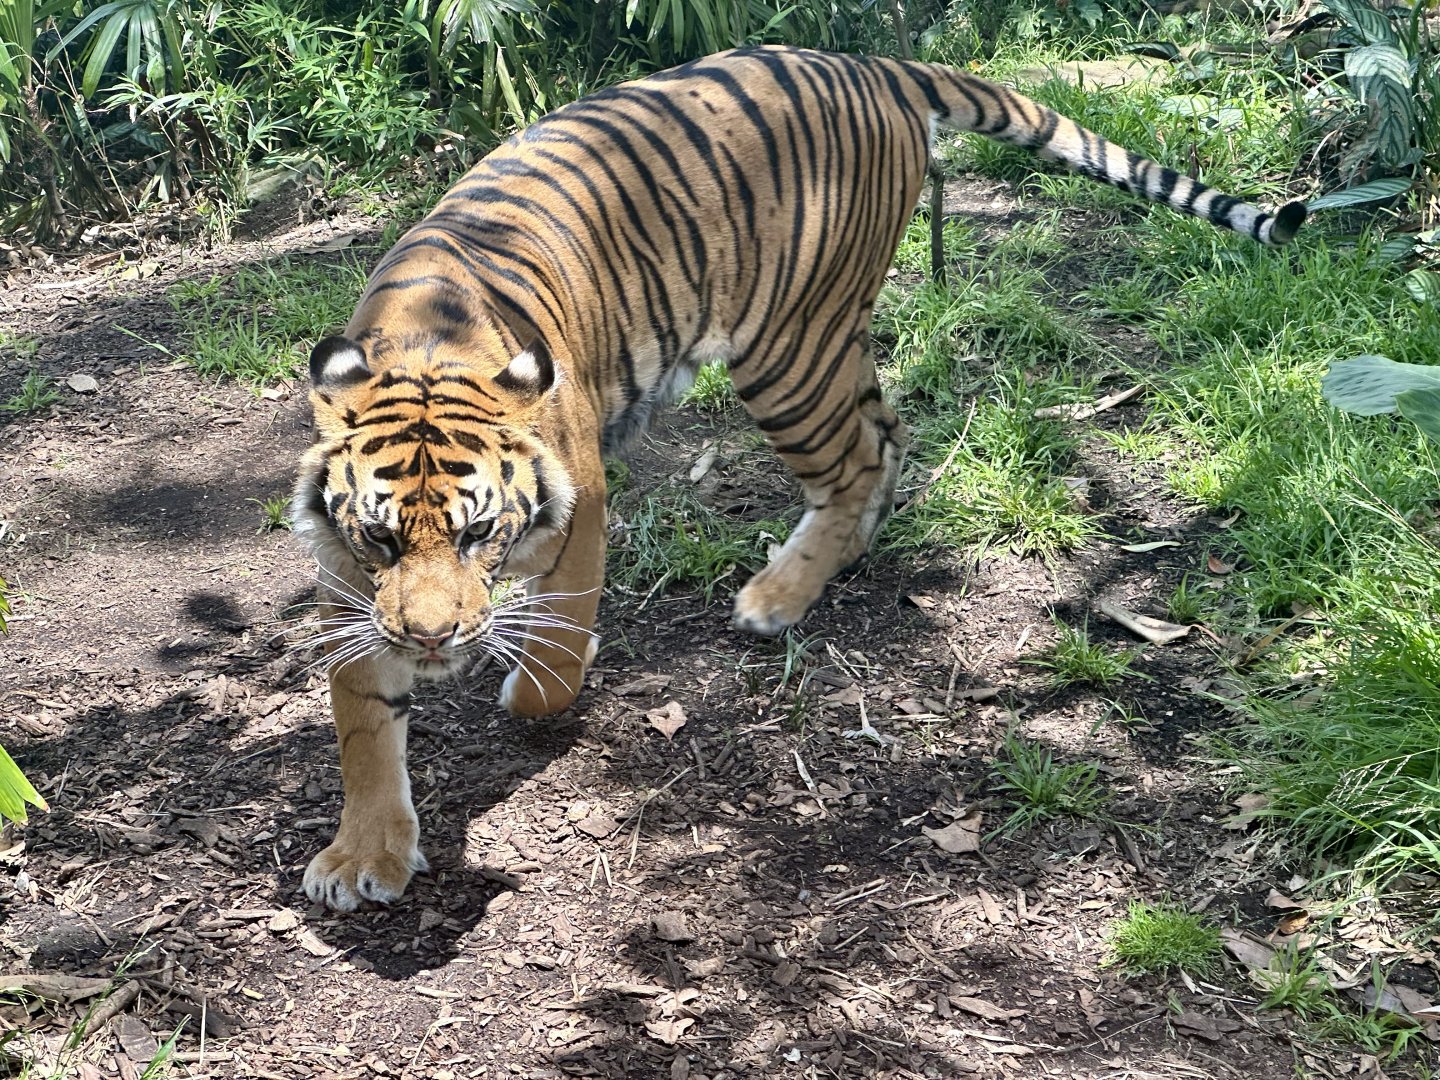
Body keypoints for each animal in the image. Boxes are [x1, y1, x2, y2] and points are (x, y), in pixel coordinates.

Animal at [292, 45, 1304, 911]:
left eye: (478, 533)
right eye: (381, 536)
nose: (432, 639)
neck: (426, 345)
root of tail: (875, 64)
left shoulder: (580, 512)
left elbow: (555, 646)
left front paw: (534, 683)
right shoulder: (347, 580)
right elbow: (362, 720)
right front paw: (365, 853)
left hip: (786, 349)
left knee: (855, 460)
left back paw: (776, 597)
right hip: (828, 342)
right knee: (889, 433)